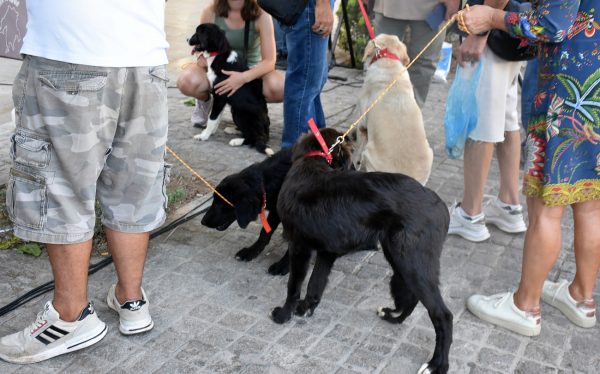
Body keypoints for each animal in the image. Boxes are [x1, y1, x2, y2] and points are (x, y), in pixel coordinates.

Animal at [189, 23, 274, 156]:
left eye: (198, 33)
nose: (187, 39)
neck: (218, 54)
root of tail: (266, 132)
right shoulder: (220, 97)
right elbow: (216, 117)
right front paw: (210, 132)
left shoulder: (220, 96)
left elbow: (212, 118)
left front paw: (204, 136)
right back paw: (233, 130)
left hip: (239, 112)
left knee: (254, 138)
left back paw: (237, 141)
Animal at [270, 129, 450, 374]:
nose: (356, 170)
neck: (311, 164)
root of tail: (442, 207)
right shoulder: (326, 251)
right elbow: (316, 284)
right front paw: (307, 308)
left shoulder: (299, 246)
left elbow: (294, 286)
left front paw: (284, 314)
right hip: (400, 259)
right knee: (412, 296)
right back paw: (394, 317)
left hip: (413, 263)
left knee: (443, 315)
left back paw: (437, 365)